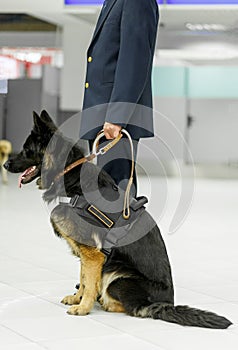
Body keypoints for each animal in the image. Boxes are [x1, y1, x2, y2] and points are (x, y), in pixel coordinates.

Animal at [4, 110, 232, 330]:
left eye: (25, 150)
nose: (5, 163)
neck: (70, 175)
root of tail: (164, 304)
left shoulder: (93, 254)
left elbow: (89, 282)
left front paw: (83, 307)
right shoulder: (86, 254)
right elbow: (83, 278)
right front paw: (78, 299)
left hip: (117, 275)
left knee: (134, 308)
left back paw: (105, 301)